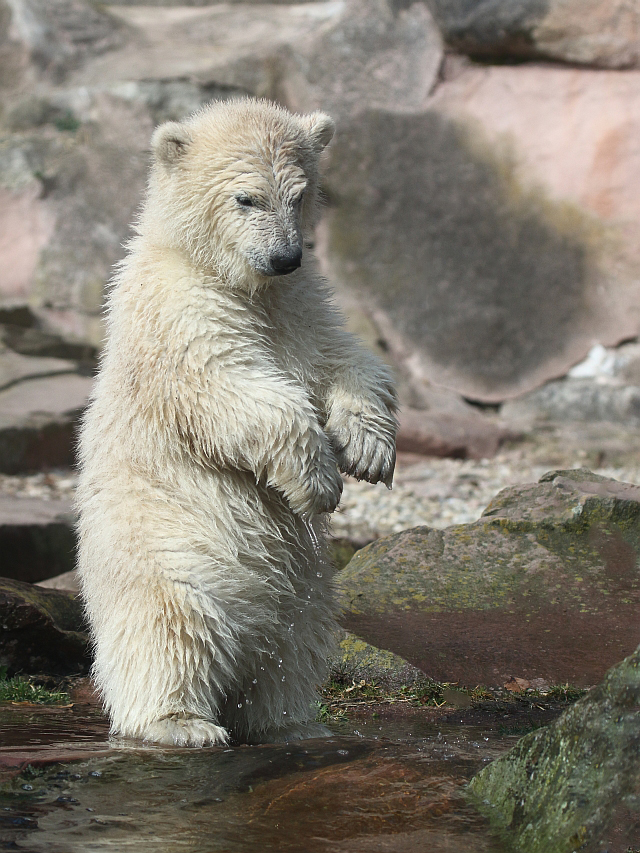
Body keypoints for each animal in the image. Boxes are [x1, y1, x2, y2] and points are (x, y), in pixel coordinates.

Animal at [77, 96, 398, 744]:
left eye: (298, 195)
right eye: (246, 198)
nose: (285, 256)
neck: (238, 281)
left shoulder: (300, 304)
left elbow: (344, 360)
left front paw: (369, 447)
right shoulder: (179, 312)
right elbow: (230, 386)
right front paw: (319, 480)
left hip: (307, 590)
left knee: (295, 651)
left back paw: (291, 724)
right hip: (169, 557)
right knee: (168, 631)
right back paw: (182, 722)